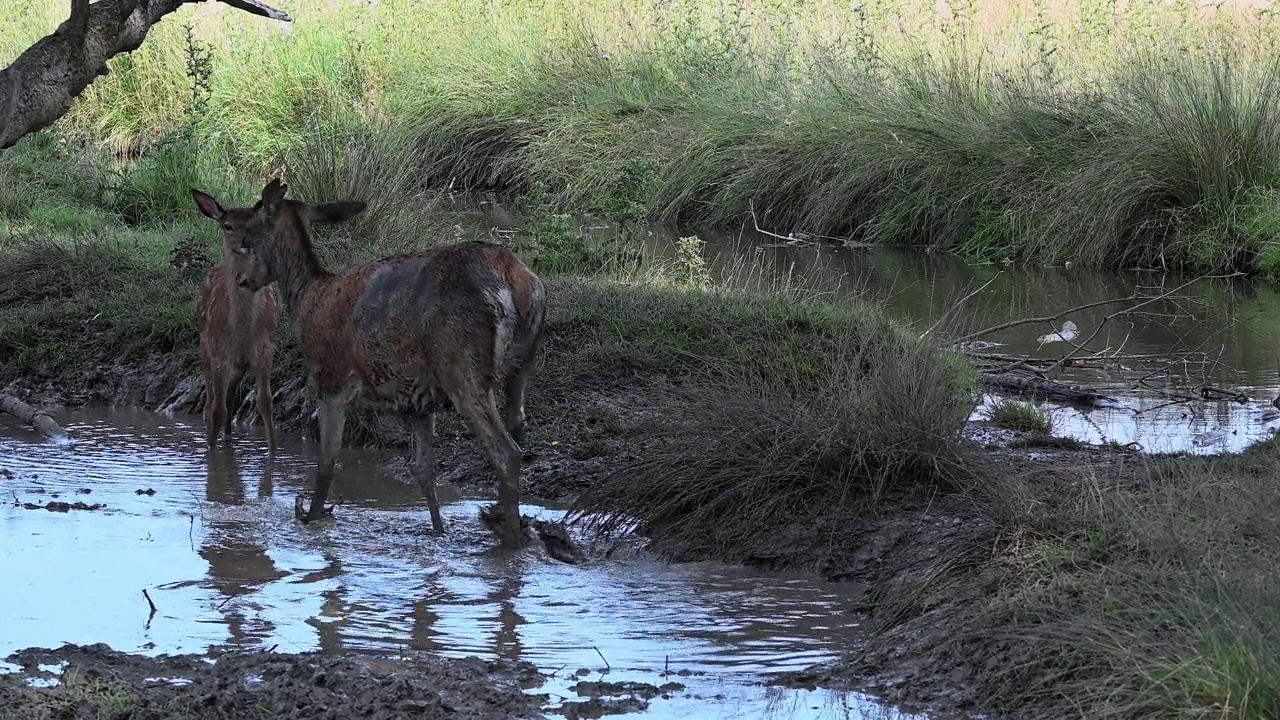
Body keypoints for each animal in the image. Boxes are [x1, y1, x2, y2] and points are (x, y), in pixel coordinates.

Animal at [189, 188, 280, 450]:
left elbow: (265, 403)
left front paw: (273, 451)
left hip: (239, 365)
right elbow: (216, 410)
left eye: (254, 222)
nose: (245, 242)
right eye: (227, 226)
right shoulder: (219, 352)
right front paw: (211, 452)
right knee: (212, 400)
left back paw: (229, 438)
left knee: (229, 397)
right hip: (205, 349)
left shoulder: (265, 349)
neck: (242, 331)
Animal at [218, 179, 545, 543]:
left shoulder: (331, 381)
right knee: (518, 425)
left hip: (462, 365)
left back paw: (510, 537)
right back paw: (507, 521)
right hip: (522, 362)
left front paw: (313, 519)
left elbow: (327, 462)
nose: (242, 280)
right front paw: (437, 531)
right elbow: (423, 470)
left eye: (249, 237)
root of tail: (518, 281)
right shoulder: (419, 402)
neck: (308, 300)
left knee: (506, 452)